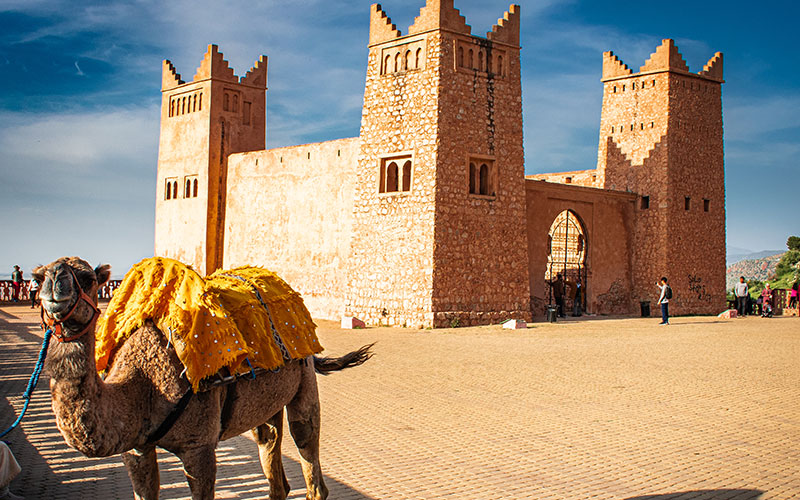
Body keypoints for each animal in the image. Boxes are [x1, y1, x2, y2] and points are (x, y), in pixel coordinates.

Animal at [35, 258, 376, 500]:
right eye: (38, 277)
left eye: (88, 279)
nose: (55, 284)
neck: (143, 385)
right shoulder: (135, 448)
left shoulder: (199, 446)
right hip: (266, 402)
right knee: (269, 444)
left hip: (304, 378)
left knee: (306, 443)